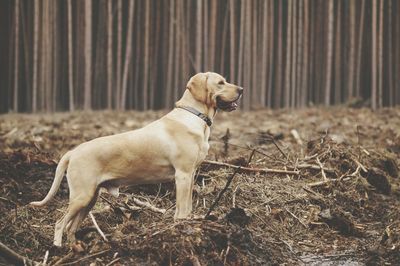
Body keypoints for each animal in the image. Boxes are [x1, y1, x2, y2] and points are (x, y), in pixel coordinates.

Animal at [29, 71, 242, 246]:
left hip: (89, 199)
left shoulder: (190, 175)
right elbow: (182, 208)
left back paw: (76, 249)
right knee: (59, 224)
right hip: (81, 196)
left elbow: (188, 206)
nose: (241, 89)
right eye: (221, 82)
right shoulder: (182, 175)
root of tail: (73, 151)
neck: (195, 115)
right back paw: (58, 249)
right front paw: (181, 227)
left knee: (71, 227)